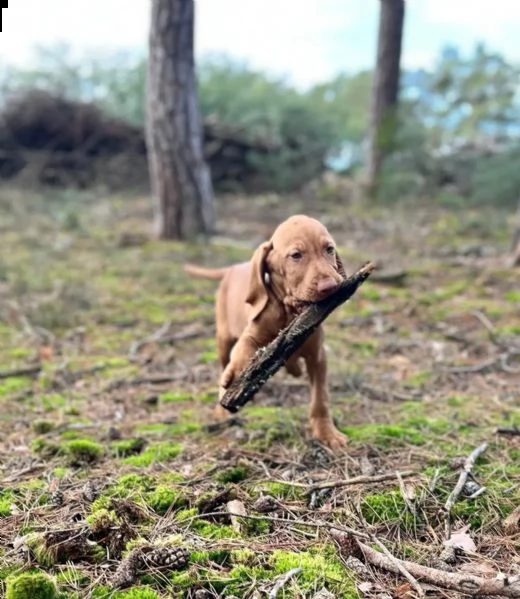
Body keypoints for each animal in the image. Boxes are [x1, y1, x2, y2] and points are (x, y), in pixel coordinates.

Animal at [185, 214, 348, 450]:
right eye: (296, 256)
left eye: (329, 249)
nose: (330, 286)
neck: (289, 312)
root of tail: (233, 268)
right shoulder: (252, 335)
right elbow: (243, 351)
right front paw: (234, 375)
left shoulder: (317, 356)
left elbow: (320, 398)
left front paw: (327, 433)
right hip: (223, 339)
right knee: (225, 362)